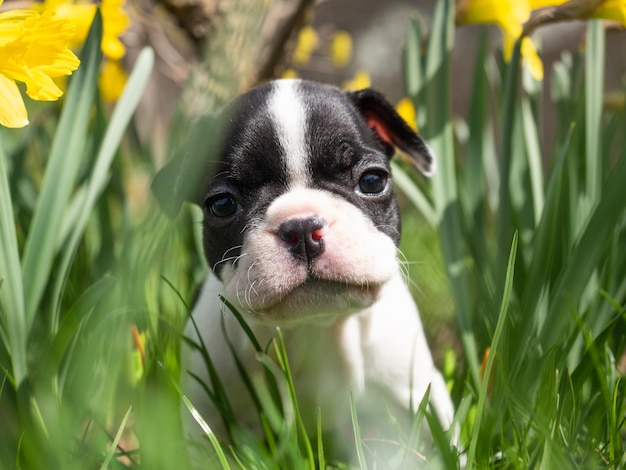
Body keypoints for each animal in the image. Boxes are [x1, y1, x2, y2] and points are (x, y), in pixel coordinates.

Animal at [152, 80, 454, 448]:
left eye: (372, 181)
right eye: (222, 205)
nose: (302, 227)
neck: (317, 326)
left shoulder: (418, 391)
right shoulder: (206, 406)